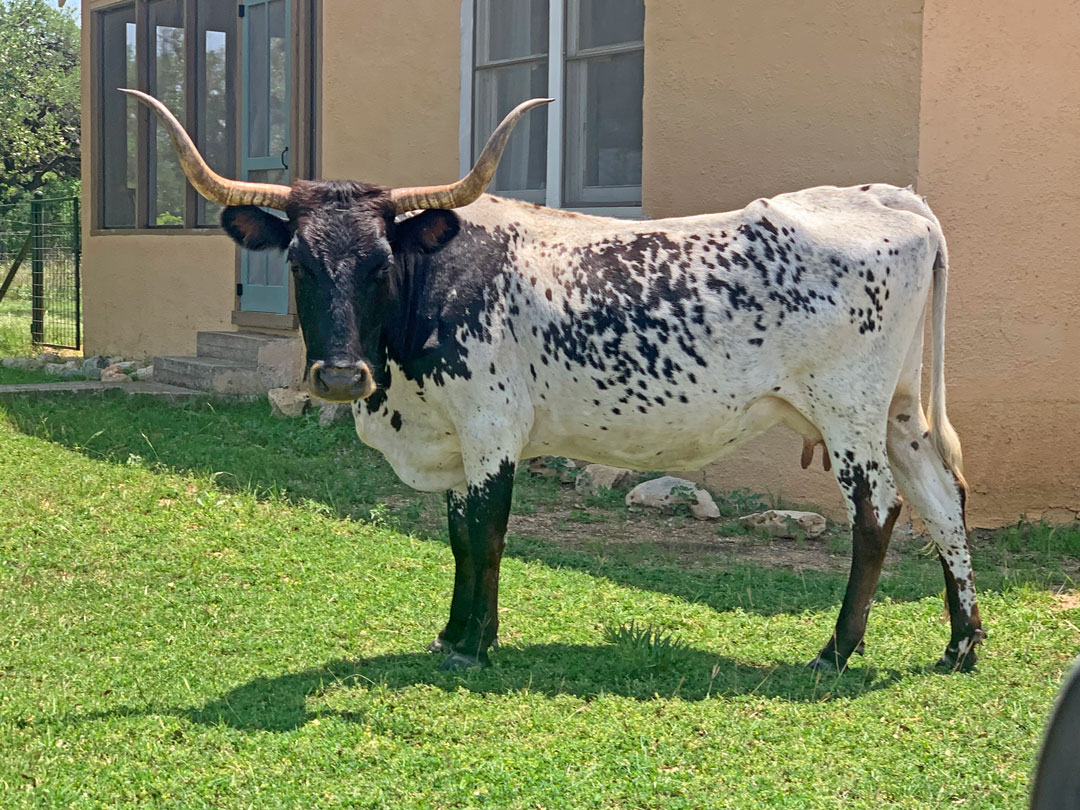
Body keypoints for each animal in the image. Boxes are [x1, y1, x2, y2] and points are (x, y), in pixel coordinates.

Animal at [122, 87, 984, 673]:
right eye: (299, 262)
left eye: (378, 262)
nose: (338, 375)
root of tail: (892, 198)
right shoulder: (452, 438)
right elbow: (457, 535)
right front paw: (451, 633)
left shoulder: (491, 428)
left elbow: (485, 532)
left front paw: (475, 645)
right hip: (900, 413)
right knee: (943, 503)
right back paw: (962, 644)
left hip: (848, 412)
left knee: (878, 515)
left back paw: (836, 651)